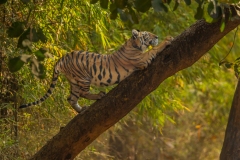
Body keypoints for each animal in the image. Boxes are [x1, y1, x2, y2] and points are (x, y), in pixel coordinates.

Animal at [18, 29, 172, 113]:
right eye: (146, 34)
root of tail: (62, 58)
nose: (157, 36)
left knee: (71, 98)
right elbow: (154, 50)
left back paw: (81, 110)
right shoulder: (142, 60)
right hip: (84, 78)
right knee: (83, 93)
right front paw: (168, 39)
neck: (133, 44)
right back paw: (99, 95)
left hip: (74, 81)